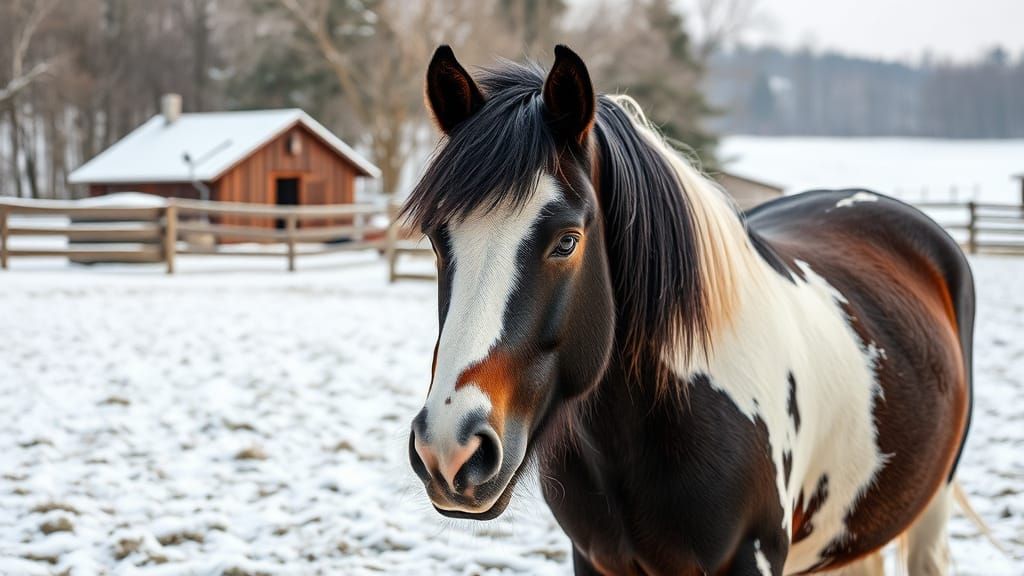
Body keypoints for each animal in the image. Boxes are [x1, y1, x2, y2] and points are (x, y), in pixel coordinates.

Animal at [404, 45, 974, 576]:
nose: (450, 449)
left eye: (566, 241)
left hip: (932, 506)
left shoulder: (753, 555)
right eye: (435, 239)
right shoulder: (593, 557)